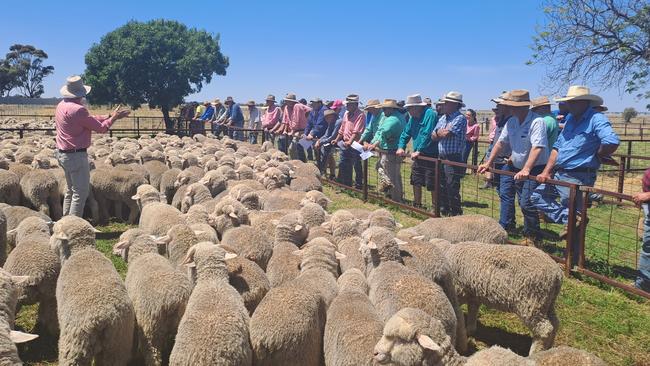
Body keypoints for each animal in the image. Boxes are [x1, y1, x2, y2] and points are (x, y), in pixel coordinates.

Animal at [49, 216, 134, 364]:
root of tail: (104, 317)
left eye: (54, 232)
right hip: (118, 344)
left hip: (75, 345)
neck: (82, 250)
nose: (48, 242)